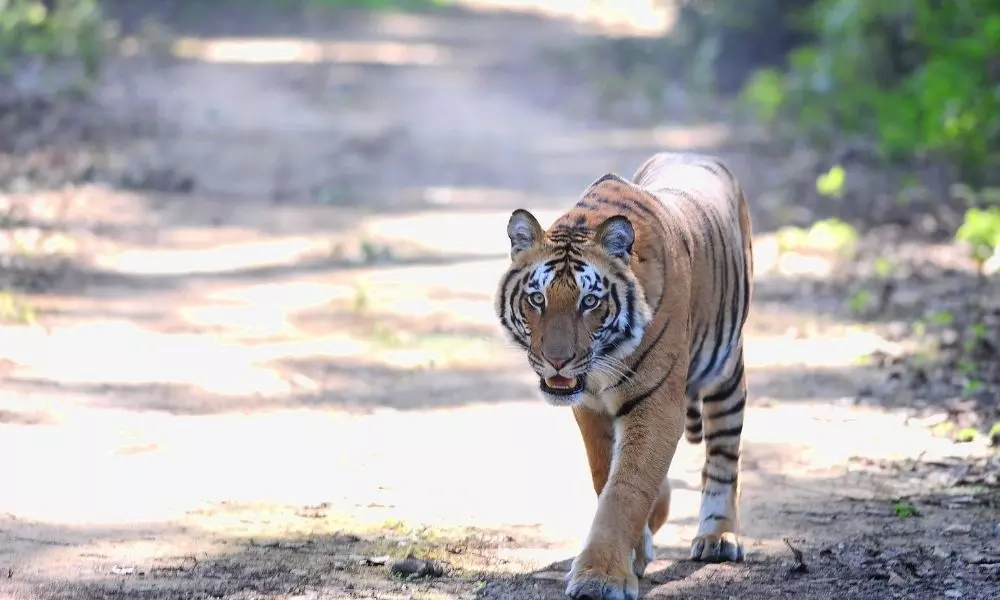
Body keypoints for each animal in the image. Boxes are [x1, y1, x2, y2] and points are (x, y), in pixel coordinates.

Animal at [494, 151, 754, 600]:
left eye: (589, 301)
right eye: (537, 298)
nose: (557, 361)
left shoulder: (656, 403)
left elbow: (626, 490)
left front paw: (600, 577)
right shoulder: (589, 405)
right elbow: (606, 475)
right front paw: (635, 551)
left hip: (726, 373)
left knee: (723, 456)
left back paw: (718, 537)